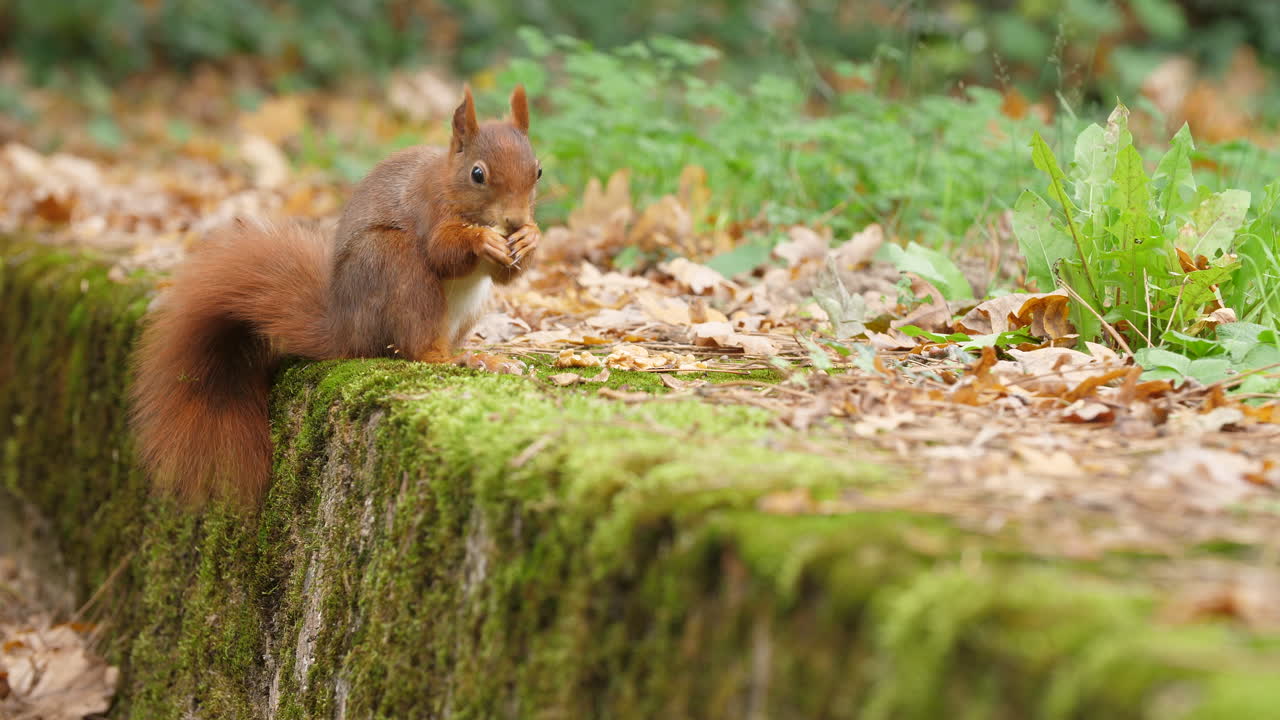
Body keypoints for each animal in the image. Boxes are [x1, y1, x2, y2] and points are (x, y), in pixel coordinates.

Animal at [130, 85, 542, 505]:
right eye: (478, 174)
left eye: (538, 170)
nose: (514, 221)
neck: (448, 183)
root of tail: (343, 329)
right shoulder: (430, 207)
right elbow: (442, 252)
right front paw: (482, 239)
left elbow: (507, 274)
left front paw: (531, 237)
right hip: (392, 263)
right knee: (417, 346)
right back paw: (461, 359)